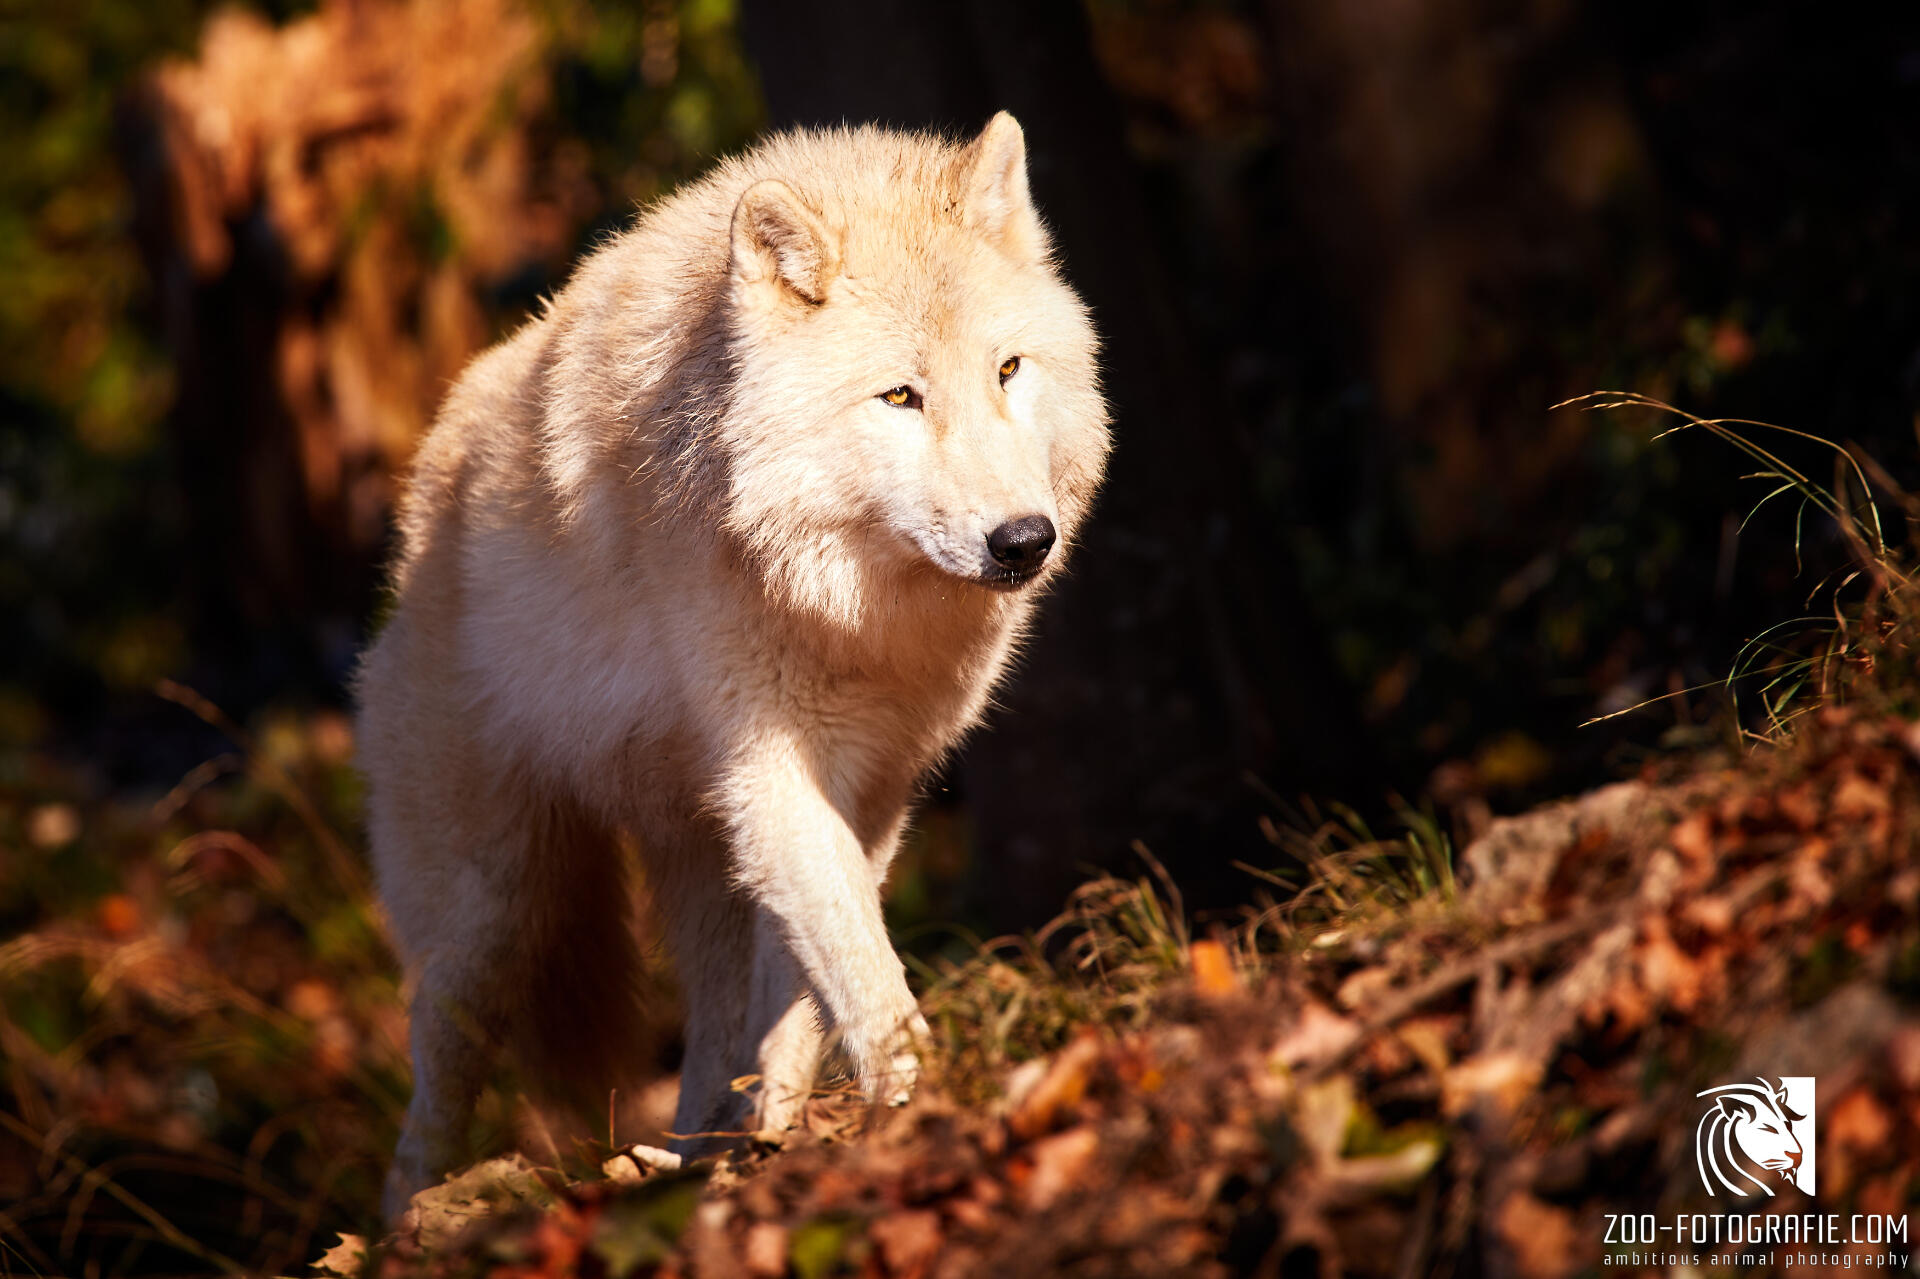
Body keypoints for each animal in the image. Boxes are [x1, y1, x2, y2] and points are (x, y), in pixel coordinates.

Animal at [355, 112, 1108, 1217]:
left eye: (1008, 370)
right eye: (900, 395)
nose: (1023, 541)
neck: (853, 613)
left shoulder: (874, 786)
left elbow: (804, 988)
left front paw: (787, 1138)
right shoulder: (775, 773)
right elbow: (862, 966)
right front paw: (926, 1102)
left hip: (695, 864)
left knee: (714, 1026)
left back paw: (696, 1154)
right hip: (494, 913)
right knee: (430, 1090)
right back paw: (408, 1218)